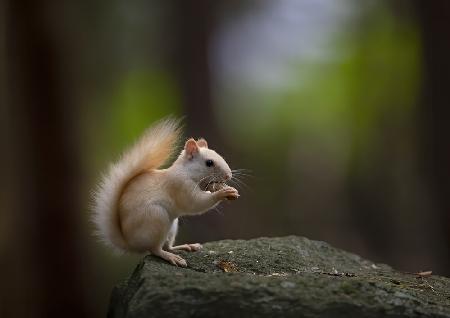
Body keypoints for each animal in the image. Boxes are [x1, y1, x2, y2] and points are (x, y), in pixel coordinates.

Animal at [91, 118, 239, 268]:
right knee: (155, 249)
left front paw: (222, 188)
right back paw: (171, 257)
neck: (187, 172)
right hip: (157, 218)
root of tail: (130, 243)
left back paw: (187, 247)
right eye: (209, 163)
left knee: (168, 246)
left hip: (172, 226)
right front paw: (222, 193)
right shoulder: (180, 186)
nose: (228, 176)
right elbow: (196, 203)